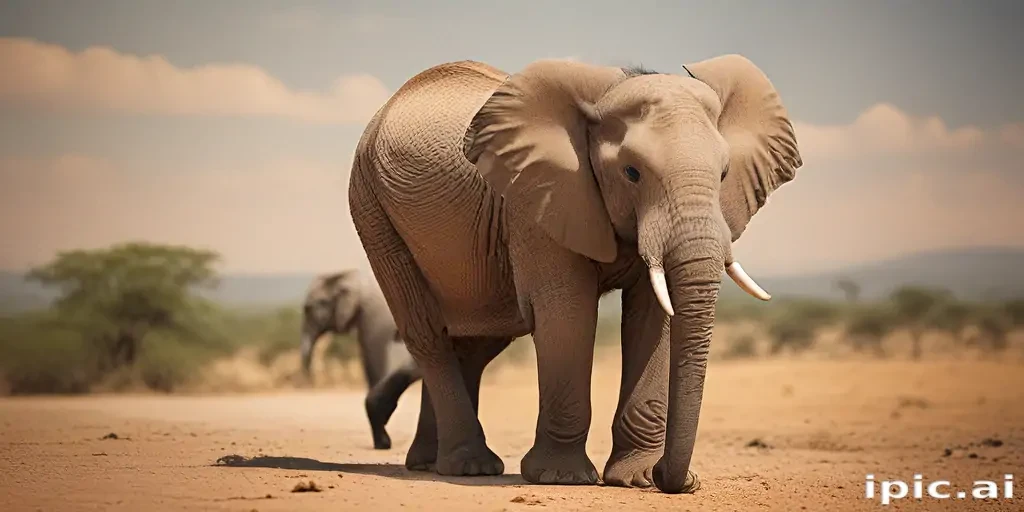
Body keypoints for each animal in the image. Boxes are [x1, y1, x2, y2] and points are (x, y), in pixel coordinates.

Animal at [347, 54, 802, 494]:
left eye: (724, 173)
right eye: (632, 173)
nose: (674, 480)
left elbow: (651, 317)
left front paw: (636, 479)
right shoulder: (537, 201)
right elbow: (568, 314)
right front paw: (560, 477)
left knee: (476, 343)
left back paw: (434, 464)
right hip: (372, 208)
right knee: (429, 335)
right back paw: (469, 466)